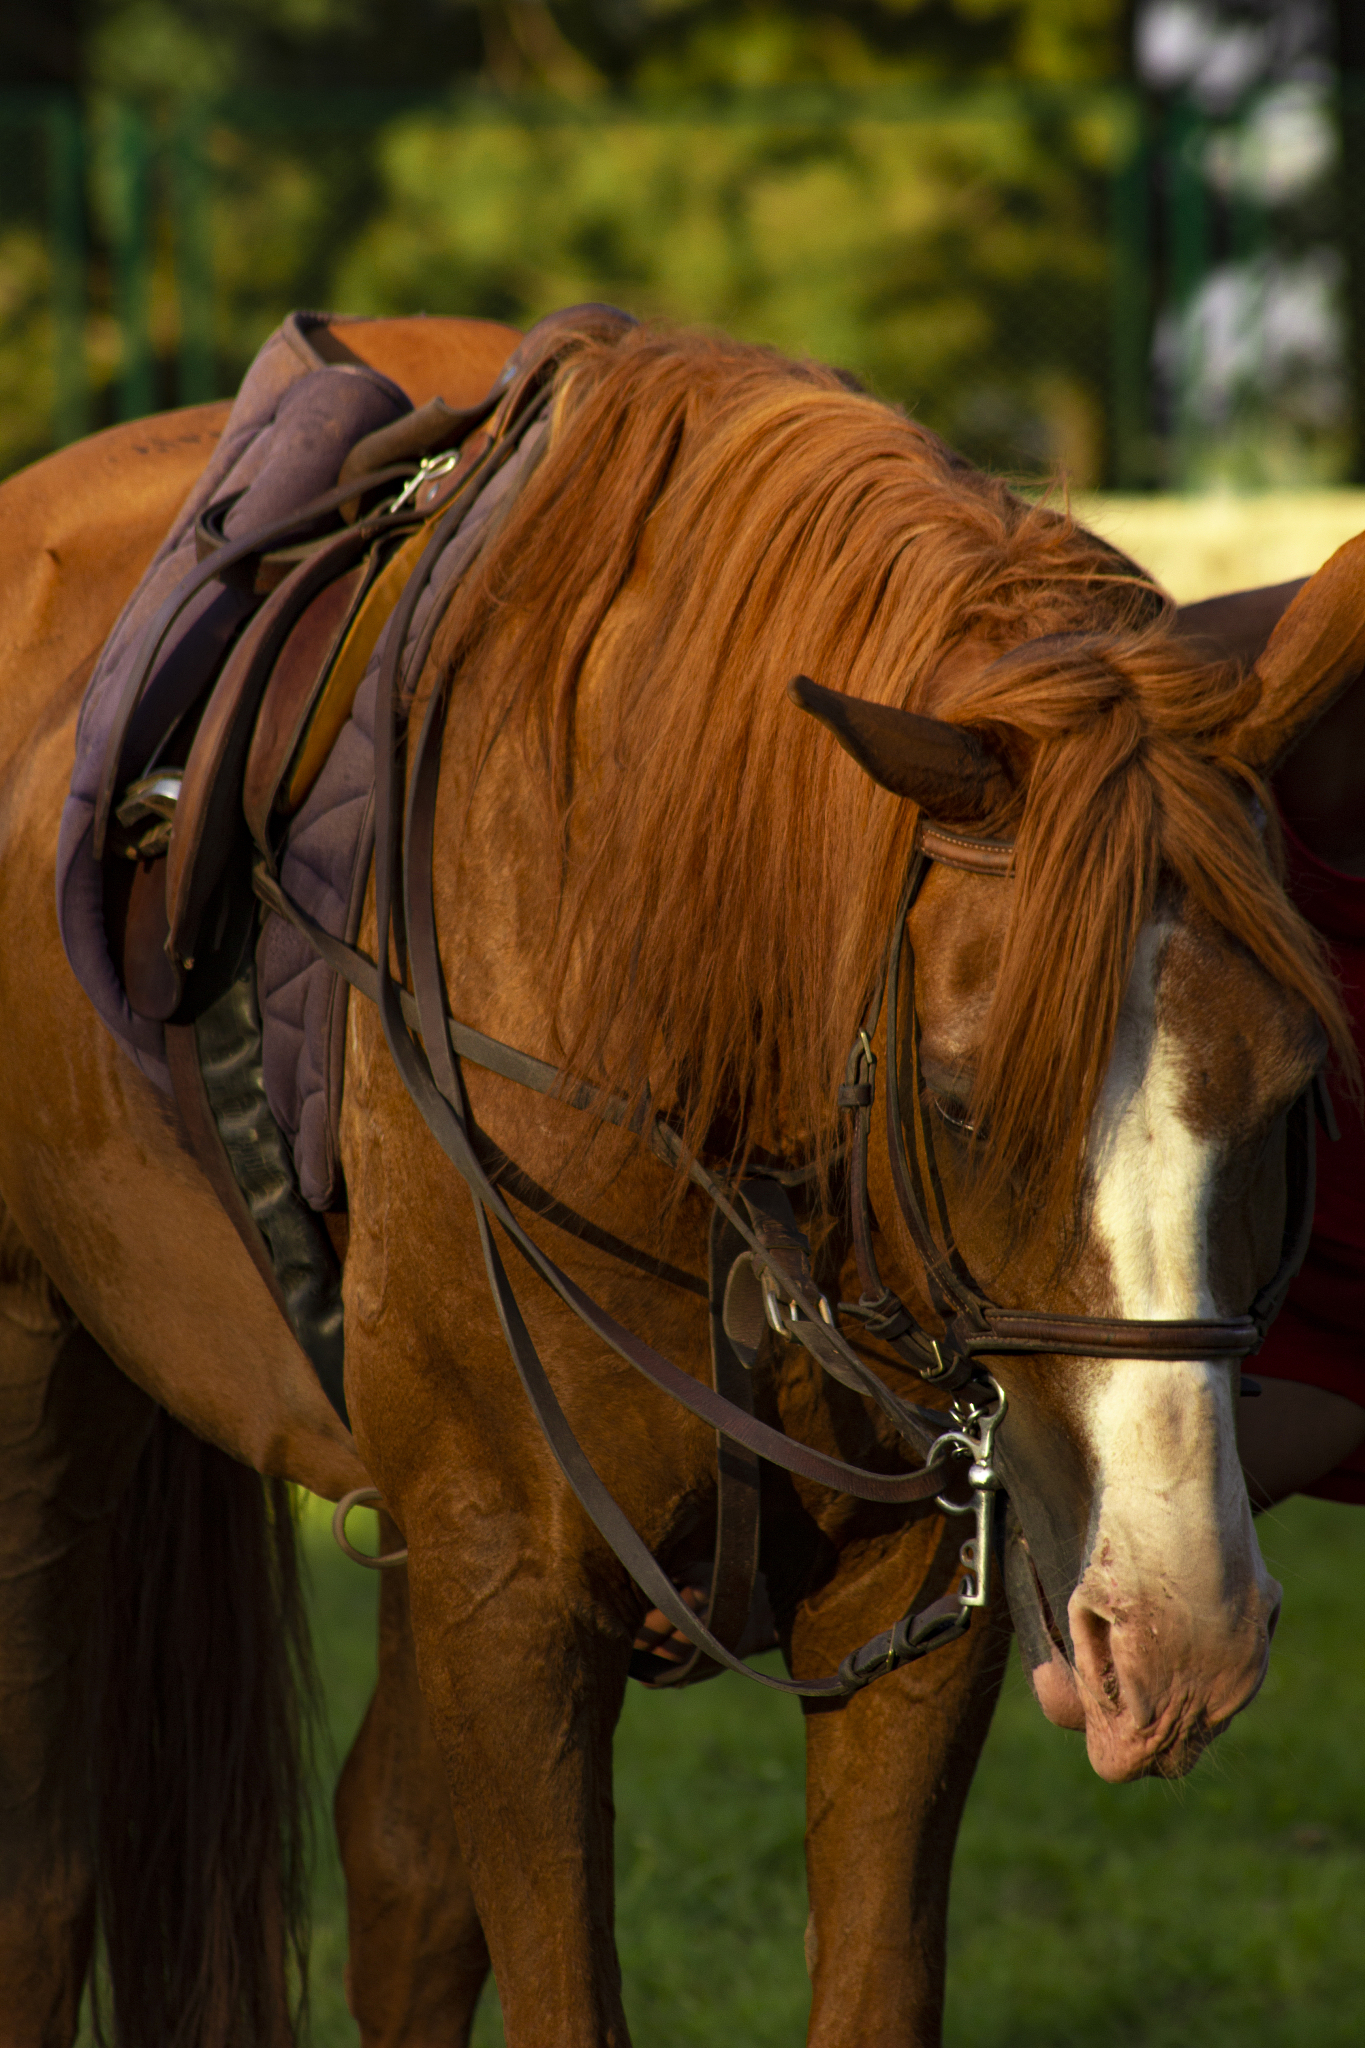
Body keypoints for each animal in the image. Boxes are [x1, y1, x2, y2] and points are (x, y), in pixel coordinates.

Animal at [0, 312, 1356, 2048]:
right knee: (46, 1884)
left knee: (398, 1869)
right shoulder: (511, 1594)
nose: (1181, 1636)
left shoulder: (906, 1620)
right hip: (45, 1381)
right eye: (959, 1097)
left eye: (1290, 1085)